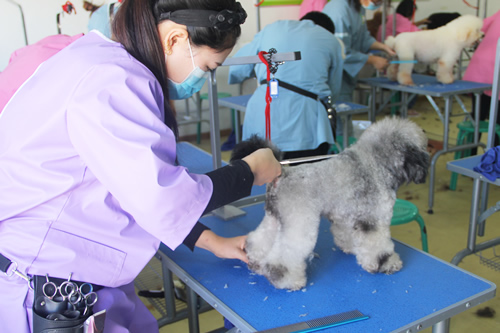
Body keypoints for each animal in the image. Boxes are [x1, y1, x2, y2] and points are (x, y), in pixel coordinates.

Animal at [230, 118, 430, 290]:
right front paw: (386, 263)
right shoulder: (374, 220)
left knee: (258, 241)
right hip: (300, 223)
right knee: (284, 257)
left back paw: (255, 262)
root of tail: (282, 174)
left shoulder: (345, 217)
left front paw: (350, 248)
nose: (424, 171)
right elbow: (379, 247)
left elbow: (346, 235)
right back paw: (288, 280)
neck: (374, 165)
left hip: (274, 219)